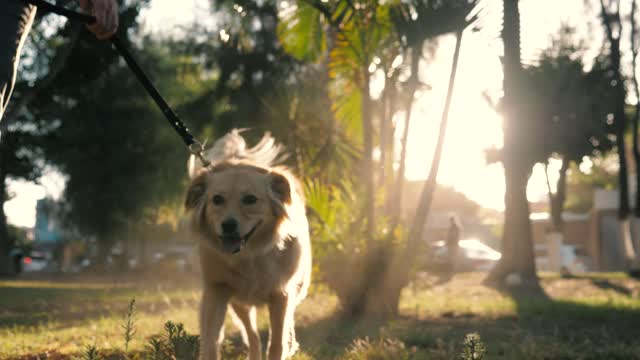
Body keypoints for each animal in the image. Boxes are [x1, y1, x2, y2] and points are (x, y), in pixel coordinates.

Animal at [184, 130, 312, 360]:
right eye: (217, 199)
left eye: (250, 199)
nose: (228, 225)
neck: (249, 254)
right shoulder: (217, 290)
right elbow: (211, 340)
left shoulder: (281, 295)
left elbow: (277, 343)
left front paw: (284, 347)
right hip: (239, 303)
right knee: (251, 334)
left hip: (297, 289)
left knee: (286, 324)